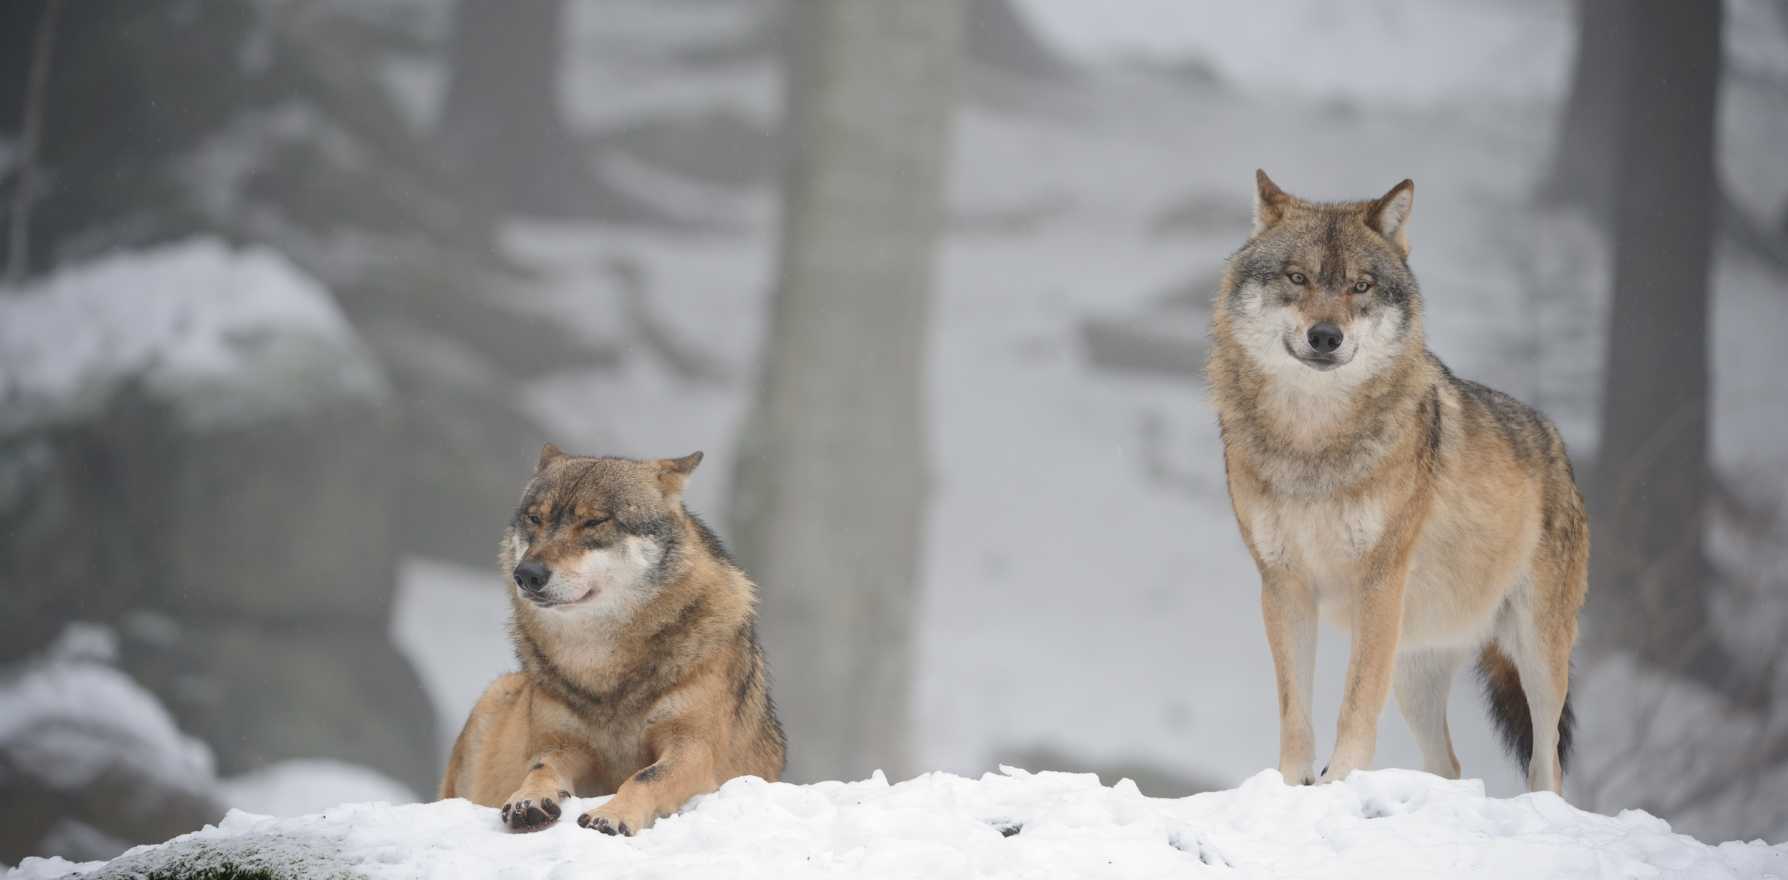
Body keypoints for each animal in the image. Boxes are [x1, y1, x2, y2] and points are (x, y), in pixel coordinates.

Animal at [439, 443, 783, 837]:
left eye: (594, 521)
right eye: (535, 519)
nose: (526, 574)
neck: (599, 662)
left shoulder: (694, 747)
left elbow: (644, 777)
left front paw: (611, 815)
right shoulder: (561, 745)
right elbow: (540, 769)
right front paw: (528, 801)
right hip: (495, 695)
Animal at [1208, 171, 1587, 797]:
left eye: (1360, 286)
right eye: (1297, 277)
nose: (1326, 336)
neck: (1314, 443)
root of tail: (1556, 441)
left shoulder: (1379, 581)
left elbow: (1356, 700)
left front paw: (1340, 781)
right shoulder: (1283, 585)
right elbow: (1295, 709)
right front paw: (1293, 785)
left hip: (1535, 652)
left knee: (1547, 763)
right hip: (1415, 668)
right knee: (1450, 766)